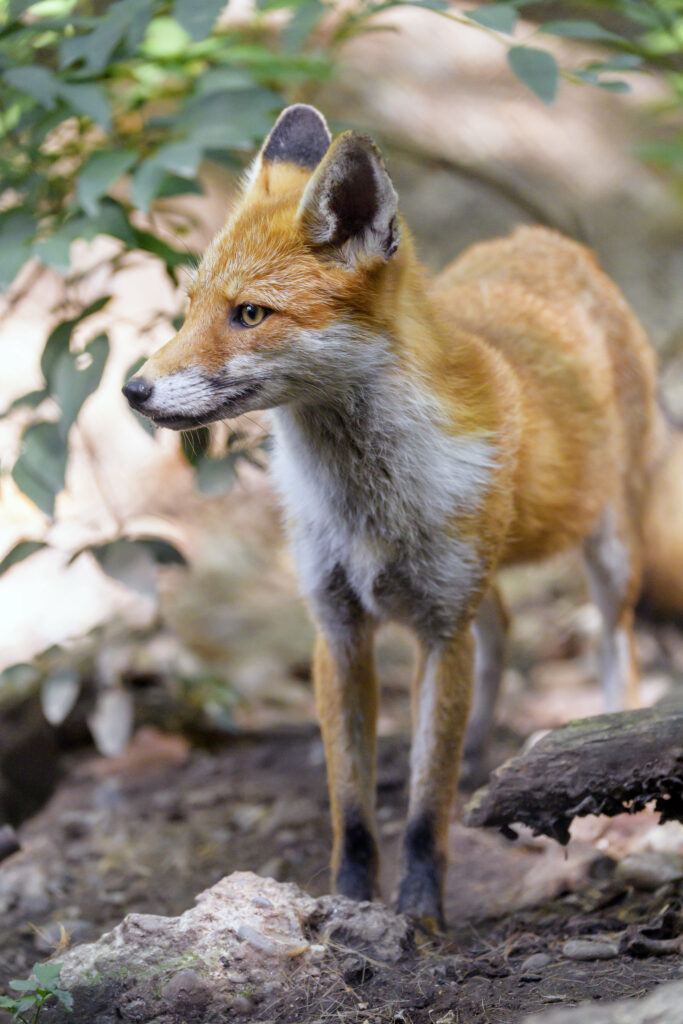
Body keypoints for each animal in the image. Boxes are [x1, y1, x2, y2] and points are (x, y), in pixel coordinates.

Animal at [123, 103, 683, 929]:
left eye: (249, 314)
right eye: (189, 307)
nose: (132, 391)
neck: (364, 506)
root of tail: (550, 241)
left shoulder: (439, 630)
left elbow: (425, 807)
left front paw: (419, 913)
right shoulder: (337, 628)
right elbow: (351, 807)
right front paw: (346, 904)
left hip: (606, 553)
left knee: (619, 655)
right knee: (501, 632)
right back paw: (482, 752)